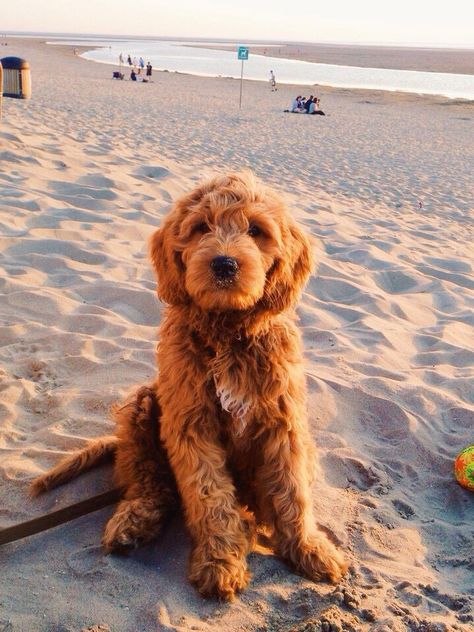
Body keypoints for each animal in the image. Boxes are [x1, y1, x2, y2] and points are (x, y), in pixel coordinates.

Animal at [31, 170, 346, 600]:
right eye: (200, 228)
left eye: (256, 230)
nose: (224, 264)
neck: (228, 333)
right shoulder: (189, 421)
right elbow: (208, 494)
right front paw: (220, 560)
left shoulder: (283, 421)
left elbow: (292, 488)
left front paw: (308, 548)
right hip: (144, 404)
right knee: (152, 481)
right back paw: (135, 519)